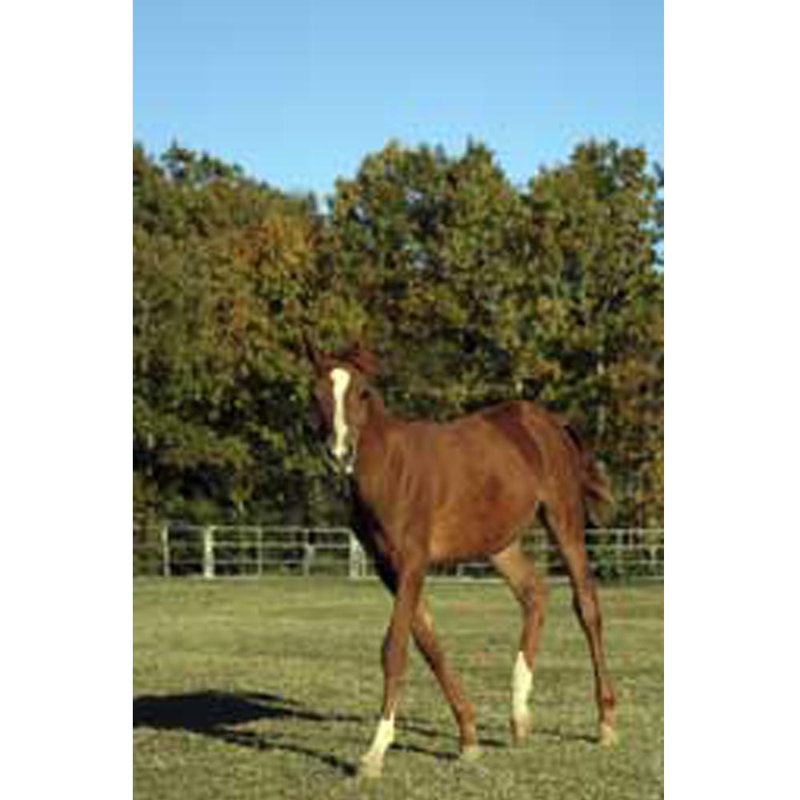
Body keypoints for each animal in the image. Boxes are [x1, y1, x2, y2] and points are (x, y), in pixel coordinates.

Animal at [304, 338, 618, 778]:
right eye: (315, 395)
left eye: (363, 392)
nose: (340, 453)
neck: (389, 469)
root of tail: (549, 422)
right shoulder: (388, 568)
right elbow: (429, 645)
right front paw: (469, 738)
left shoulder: (412, 562)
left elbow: (395, 649)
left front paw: (374, 753)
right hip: (499, 543)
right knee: (534, 594)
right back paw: (519, 717)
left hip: (564, 520)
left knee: (587, 606)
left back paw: (605, 723)